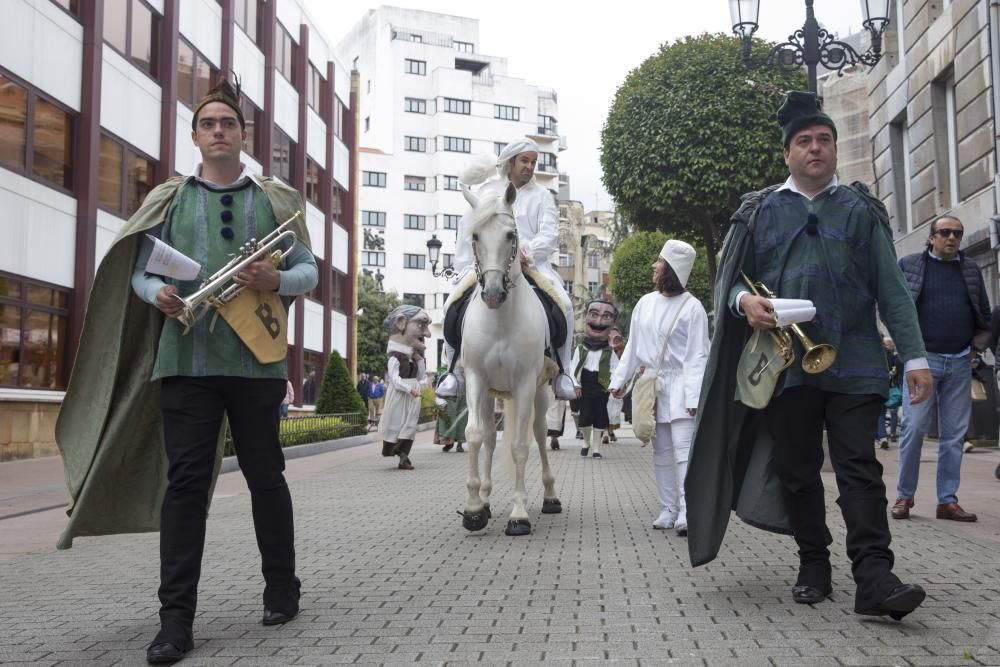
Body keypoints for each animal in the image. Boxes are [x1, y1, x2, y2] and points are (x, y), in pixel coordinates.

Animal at [458, 180, 564, 536]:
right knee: (491, 438)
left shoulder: (525, 383)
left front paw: (518, 515)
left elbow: (520, 446)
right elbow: (475, 436)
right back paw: (486, 499)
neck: (501, 319)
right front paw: (474, 508)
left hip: (541, 393)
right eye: (475, 236)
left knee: (541, 436)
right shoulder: (476, 379)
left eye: (510, 235)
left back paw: (550, 496)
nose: (493, 293)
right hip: (492, 393)